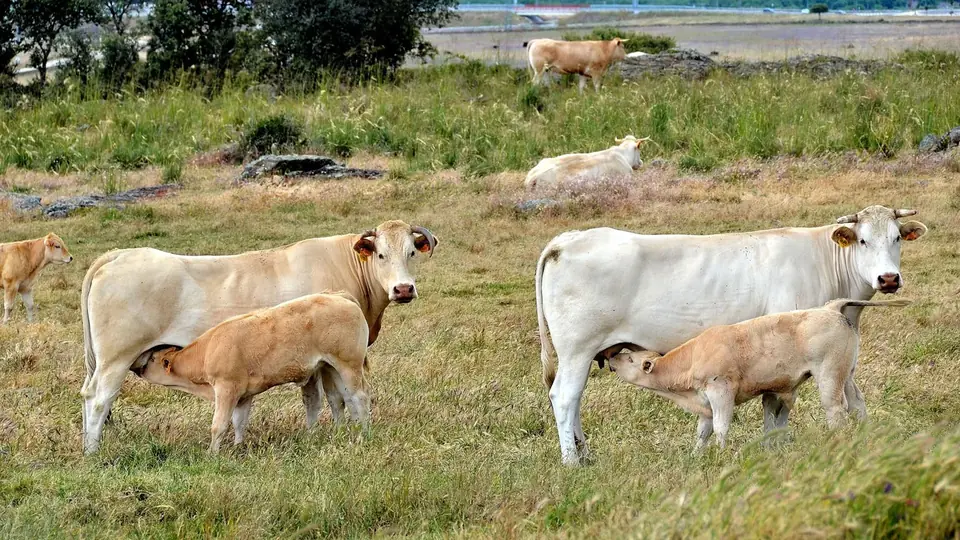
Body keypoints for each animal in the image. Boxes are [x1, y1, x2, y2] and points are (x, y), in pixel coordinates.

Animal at [135, 292, 370, 452]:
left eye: (153, 359)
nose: (138, 368)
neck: (209, 349)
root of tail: (338, 296)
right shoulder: (243, 395)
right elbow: (239, 422)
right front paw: (238, 447)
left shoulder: (226, 389)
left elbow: (219, 425)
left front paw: (212, 453)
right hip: (331, 367)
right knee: (342, 399)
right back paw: (345, 431)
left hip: (349, 365)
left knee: (360, 397)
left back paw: (365, 432)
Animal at [610, 299, 910, 450]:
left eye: (630, 358)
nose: (612, 358)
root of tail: (829, 308)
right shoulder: (705, 403)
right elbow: (703, 432)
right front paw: (696, 455)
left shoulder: (721, 393)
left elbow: (721, 427)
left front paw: (722, 455)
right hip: (847, 374)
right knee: (858, 404)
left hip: (829, 375)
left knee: (836, 409)